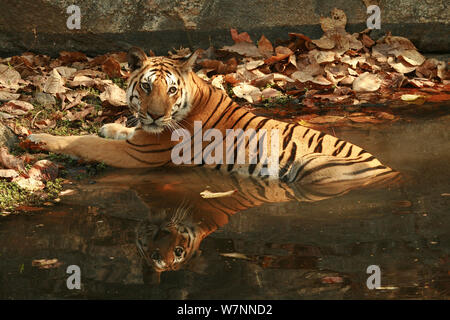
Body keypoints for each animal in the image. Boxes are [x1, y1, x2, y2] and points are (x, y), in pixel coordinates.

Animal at [26, 46, 396, 184]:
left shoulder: (139, 154)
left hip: (314, 165)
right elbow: (119, 130)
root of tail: (390, 173)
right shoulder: (140, 138)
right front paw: (110, 125)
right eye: (146, 87)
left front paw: (38, 138)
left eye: (170, 90)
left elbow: (82, 141)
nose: (156, 116)